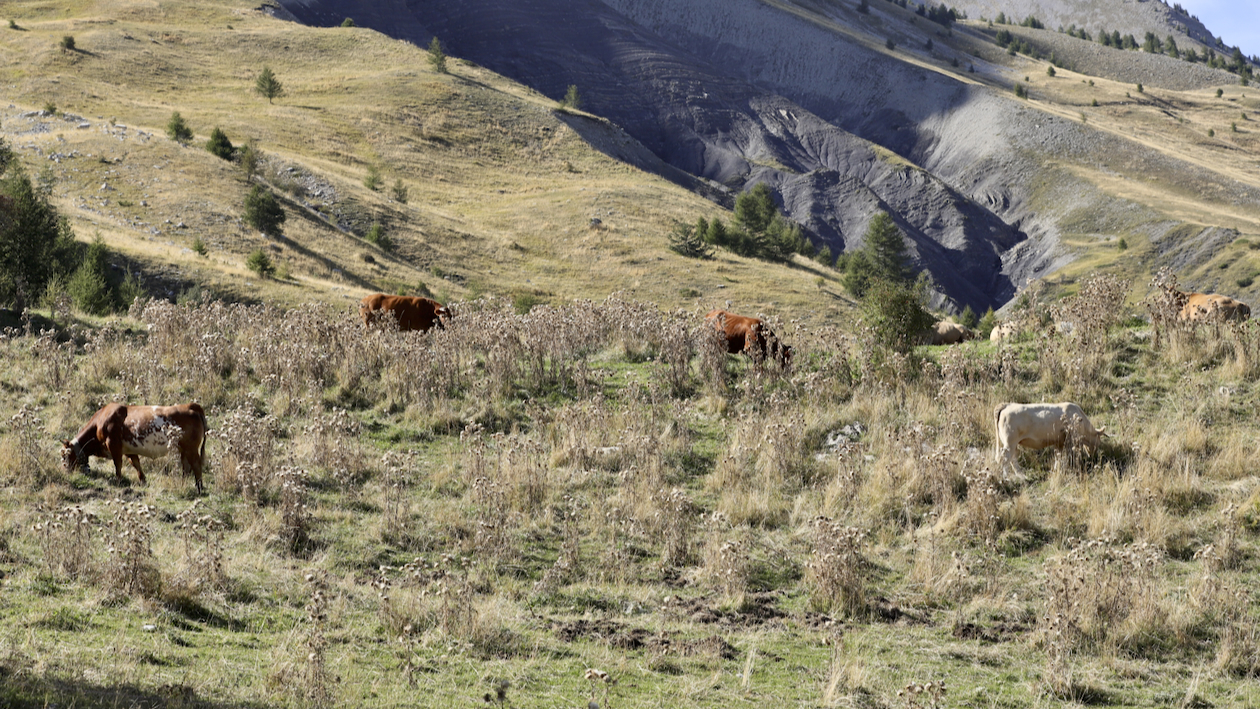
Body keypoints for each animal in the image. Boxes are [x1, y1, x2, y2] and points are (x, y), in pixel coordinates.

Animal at [61, 405, 207, 493]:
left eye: (65, 455)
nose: (64, 470)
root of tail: (191, 406)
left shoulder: (113, 445)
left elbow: (118, 464)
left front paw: (118, 480)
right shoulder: (129, 450)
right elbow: (136, 464)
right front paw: (143, 480)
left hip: (191, 448)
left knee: (196, 465)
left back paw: (199, 487)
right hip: (184, 450)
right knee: (186, 467)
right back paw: (183, 483)